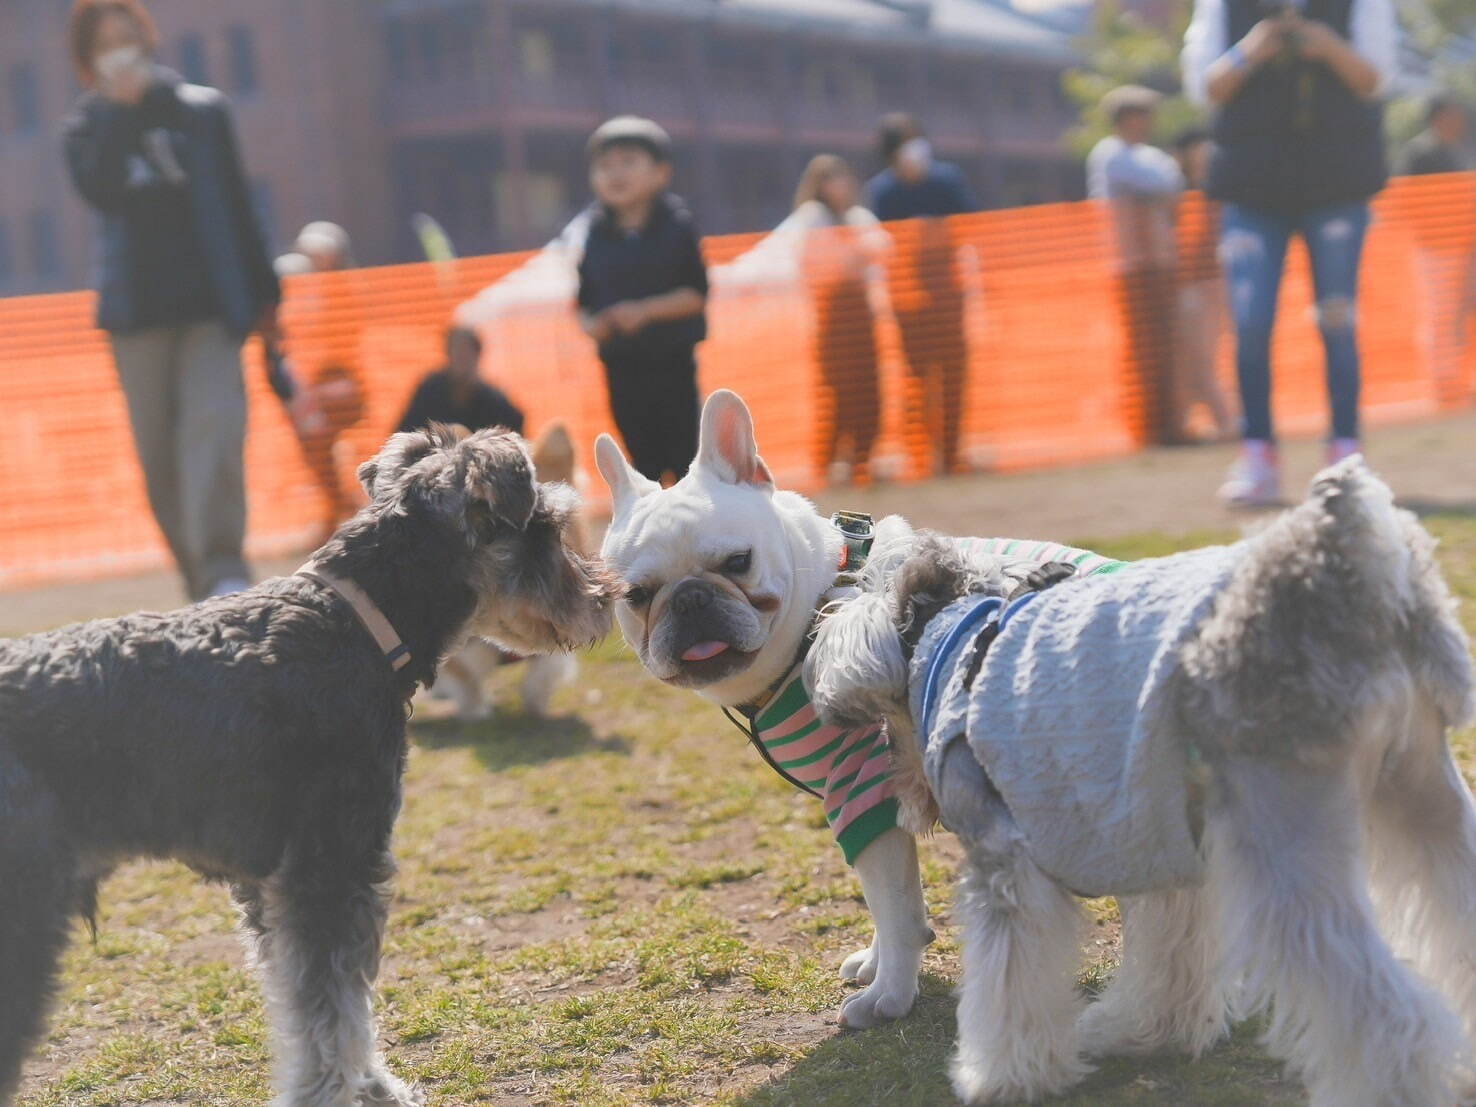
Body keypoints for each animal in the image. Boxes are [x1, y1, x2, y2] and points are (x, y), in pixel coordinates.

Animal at [0, 428, 611, 1107]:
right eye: (550, 528)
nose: (605, 599)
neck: (355, 621)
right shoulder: (332, 862)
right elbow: (335, 1006)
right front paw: (339, 1090)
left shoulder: (274, 886)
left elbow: (314, 1004)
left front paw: (369, 1083)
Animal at [808, 454, 1476, 1104]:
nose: (901, 797)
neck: (954, 636)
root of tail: (1346, 564)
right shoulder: (1164, 844)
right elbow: (1168, 956)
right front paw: (1142, 1032)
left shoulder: (1007, 864)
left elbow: (1009, 979)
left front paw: (1000, 1075)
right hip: (1428, 802)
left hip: (1285, 843)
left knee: (1382, 1007)